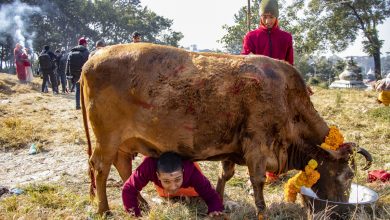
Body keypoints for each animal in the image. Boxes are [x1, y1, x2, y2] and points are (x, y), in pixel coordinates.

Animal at [80, 43, 374, 217]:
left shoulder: (233, 150)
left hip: (124, 142)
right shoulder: (256, 145)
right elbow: (258, 181)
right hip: (107, 138)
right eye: (348, 175)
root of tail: (93, 58)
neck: (287, 98)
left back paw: (140, 204)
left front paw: (219, 204)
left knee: (122, 166)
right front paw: (262, 211)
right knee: (101, 167)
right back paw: (105, 209)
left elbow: (224, 176)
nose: (342, 209)